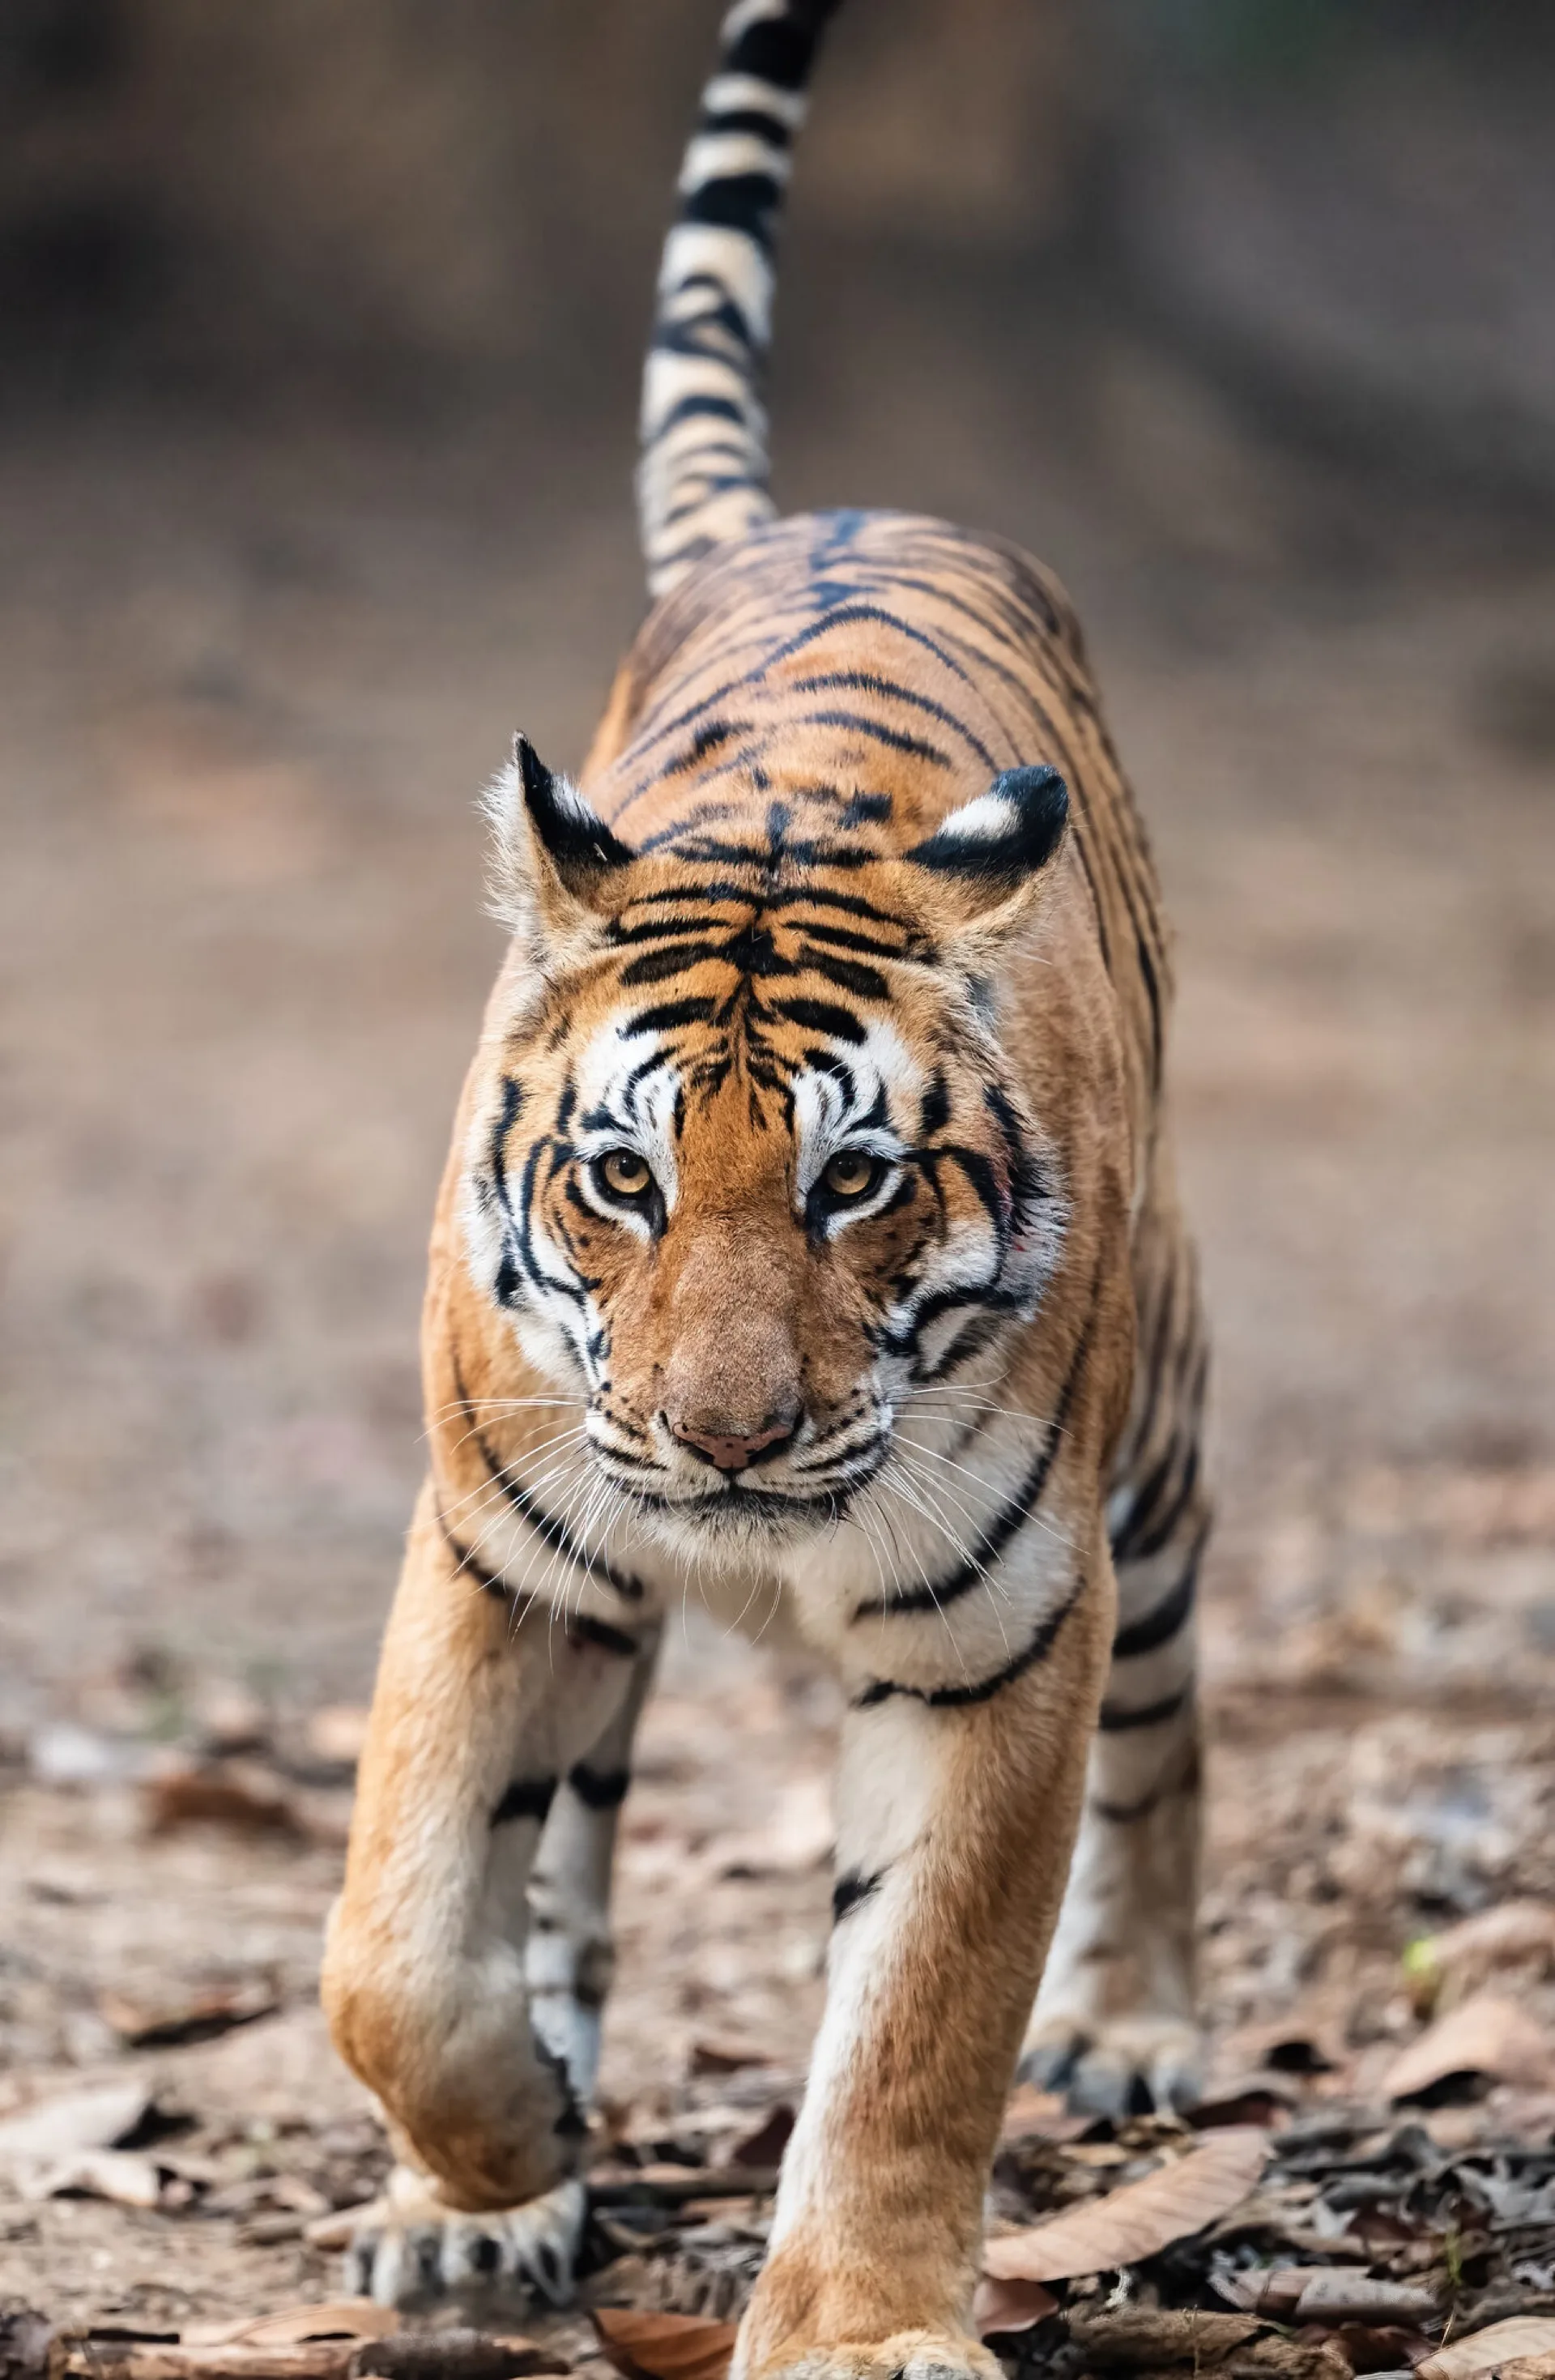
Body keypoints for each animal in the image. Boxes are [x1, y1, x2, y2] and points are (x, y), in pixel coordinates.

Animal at [321, 0, 1210, 2354]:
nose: (727, 1439)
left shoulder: (1010, 1633)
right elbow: (400, 1940)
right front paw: (501, 2151)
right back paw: (502, 2179)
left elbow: (917, 2020)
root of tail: (835, 503)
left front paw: (867, 2326)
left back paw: (1145, 2019)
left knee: (1170, 1743)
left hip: (1163, 1447)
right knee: (558, 1854)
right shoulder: (497, 1548)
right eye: (622, 1180)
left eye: (856, 1183)